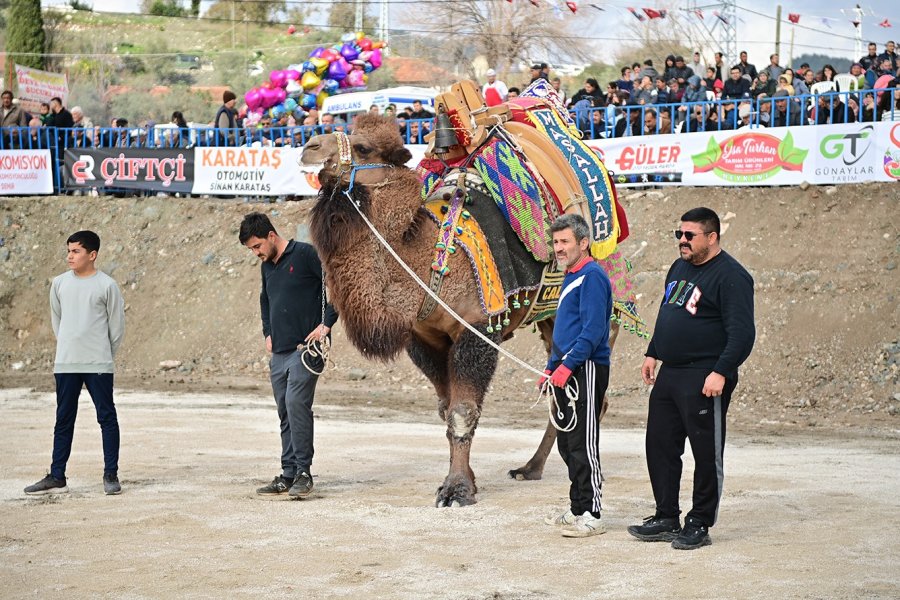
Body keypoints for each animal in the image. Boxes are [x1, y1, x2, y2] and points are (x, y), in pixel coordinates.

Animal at [302, 113, 624, 506]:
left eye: (363, 147)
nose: (308, 147)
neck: (431, 261)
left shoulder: (477, 330)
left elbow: (462, 411)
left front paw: (457, 489)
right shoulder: (424, 339)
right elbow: (446, 410)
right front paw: (463, 479)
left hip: (607, 312)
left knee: (592, 394)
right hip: (552, 318)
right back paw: (530, 468)